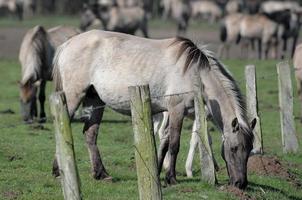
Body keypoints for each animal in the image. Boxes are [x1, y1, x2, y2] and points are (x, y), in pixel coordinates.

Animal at [53, 29, 256, 188]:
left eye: (249, 151)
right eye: (234, 149)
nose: (240, 184)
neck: (195, 73)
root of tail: (67, 44)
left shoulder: (171, 112)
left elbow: (164, 143)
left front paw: (157, 172)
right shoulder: (176, 110)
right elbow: (174, 144)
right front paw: (171, 178)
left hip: (94, 101)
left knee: (90, 135)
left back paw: (101, 174)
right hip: (72, 98)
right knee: (63, 129)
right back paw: (58, 170)